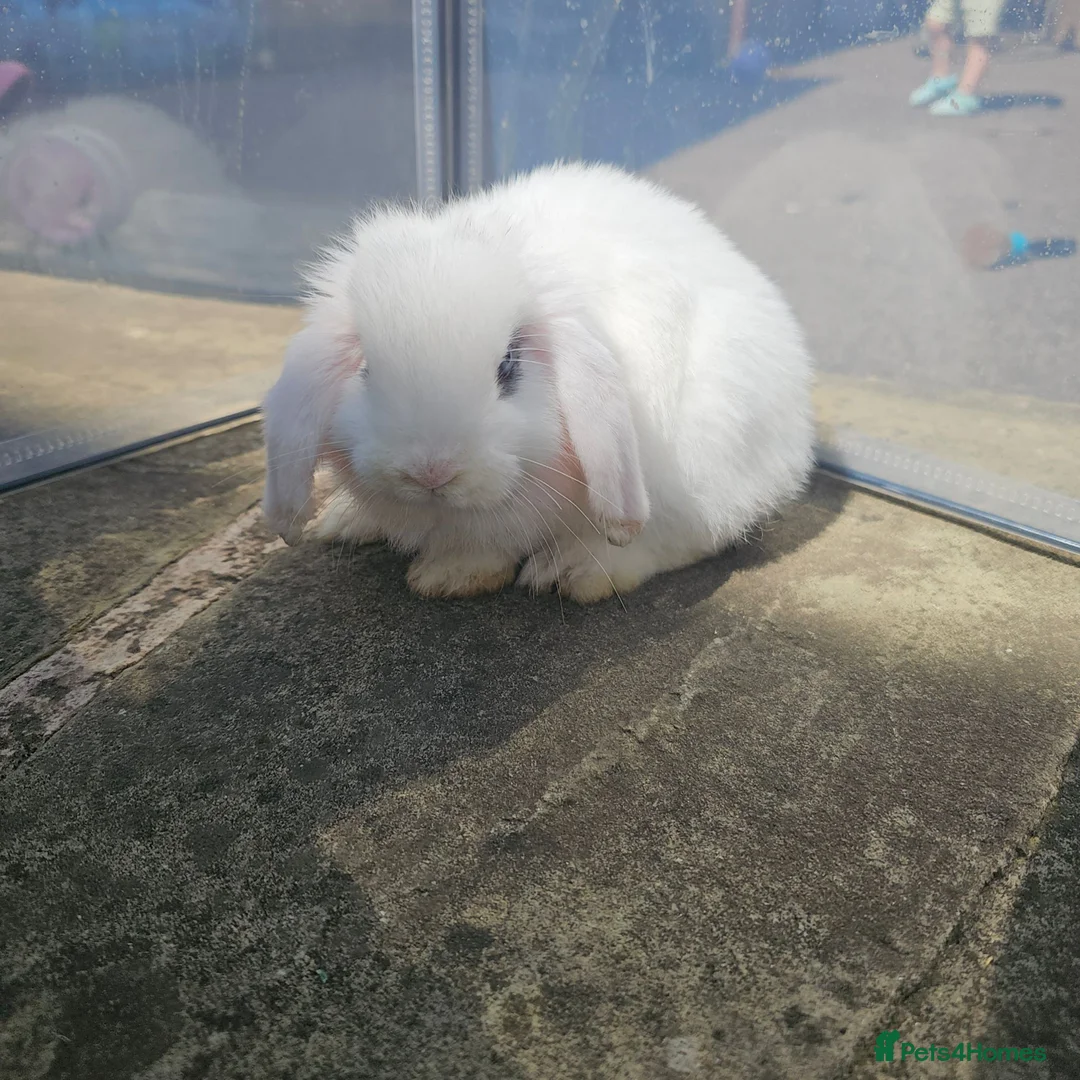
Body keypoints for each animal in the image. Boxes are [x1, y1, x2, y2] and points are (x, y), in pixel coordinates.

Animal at [262, 161, 815, 604]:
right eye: (366, 369)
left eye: (509, 365)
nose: (431, 472)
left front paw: (444, 578)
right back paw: (343, 521)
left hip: (702, 467)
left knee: (679, 541)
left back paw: (572, 572)